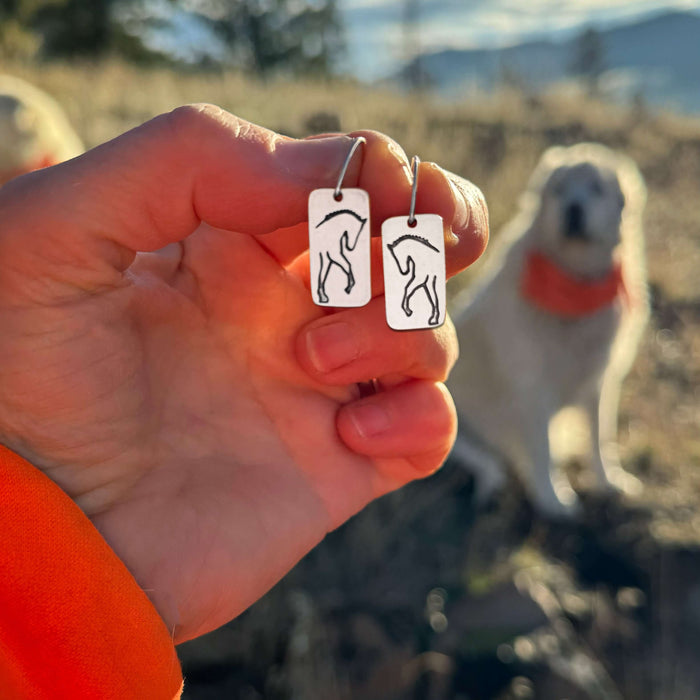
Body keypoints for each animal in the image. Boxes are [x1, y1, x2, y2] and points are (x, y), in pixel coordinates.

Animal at [452, 142, 648, 516]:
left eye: (596, 189)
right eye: (559, 190)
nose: (573, 208)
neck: (573, 284)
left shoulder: (599, 380)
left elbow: (601, 437)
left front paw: (608, 481)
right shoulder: (532, 388)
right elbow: (542, 450)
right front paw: (553, 499)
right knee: (479, 458)